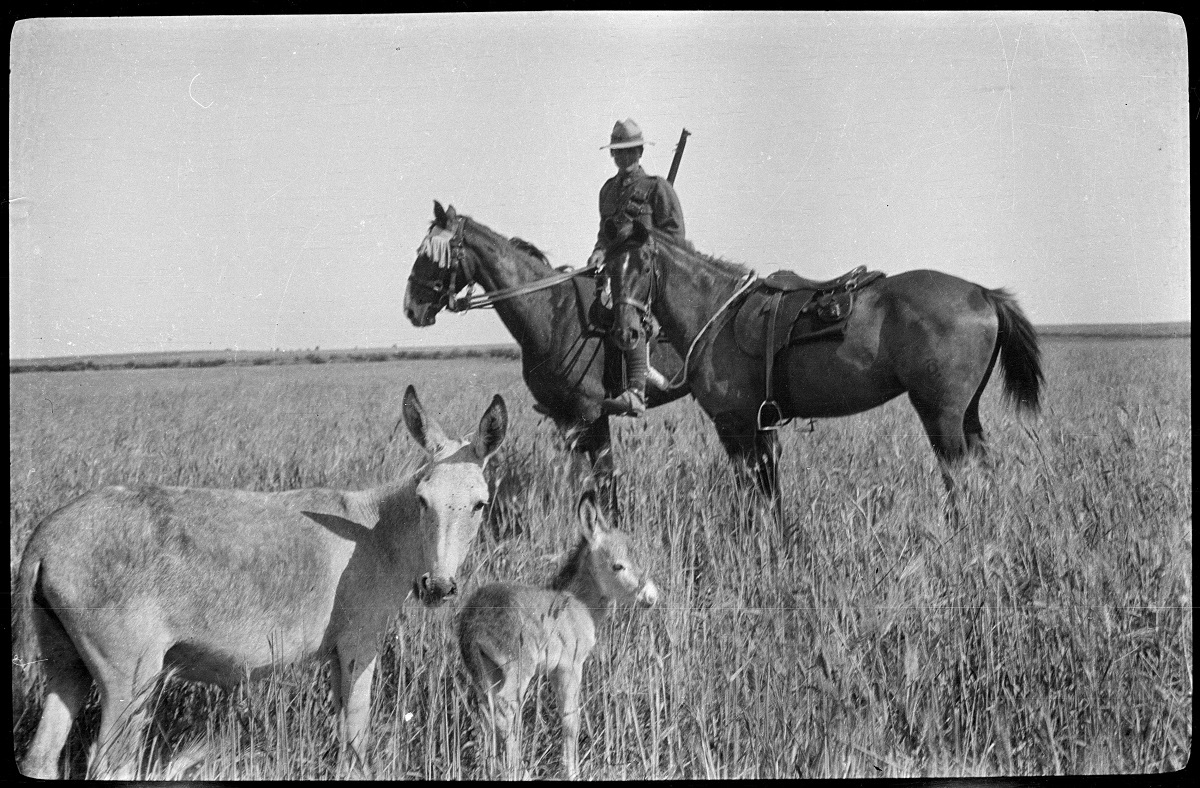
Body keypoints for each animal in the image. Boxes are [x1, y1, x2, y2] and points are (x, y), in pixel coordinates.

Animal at [403, 200, 691, 513]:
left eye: (430, 256)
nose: (411, 308)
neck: (553, 313)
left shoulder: (592, 413)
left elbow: (604, 476)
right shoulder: (562, 416)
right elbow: (581, 479)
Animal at [453, 489, 657, 777]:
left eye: (638, 558)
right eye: (618, 566)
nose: (650, 596)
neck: (578, 602)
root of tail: (474, 621)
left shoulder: (552, 670)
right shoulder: (570, 666)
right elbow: (571, 719)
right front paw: (571, 772)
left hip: (485, 671)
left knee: (486, 712)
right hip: (518, 669)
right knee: (505, 709)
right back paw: (518, 771)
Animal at [609, 223, 1041, 498]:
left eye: (644, 264)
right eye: (609, 270)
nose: (625, 332)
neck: (717, 313)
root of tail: (982, 292)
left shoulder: (736, 427)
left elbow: (751, 500)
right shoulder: (761, 428)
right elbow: (771, 497)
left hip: (941, 415)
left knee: (959, 478)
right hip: (966, 413)